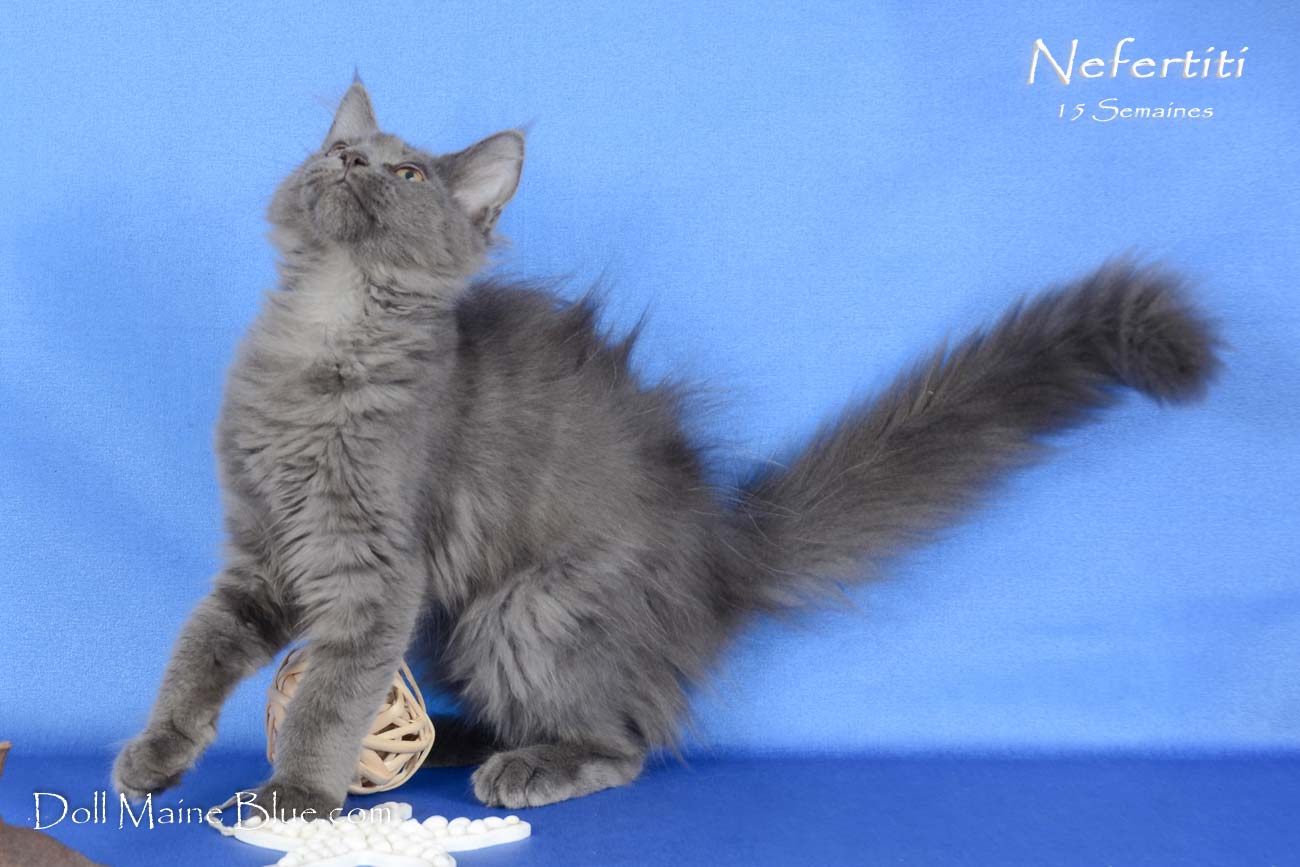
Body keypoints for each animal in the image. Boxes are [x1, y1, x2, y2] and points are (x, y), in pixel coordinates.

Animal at [112, 79, 1220, 815]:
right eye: (339, 154)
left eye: (409, 171)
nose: (348, 162)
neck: (325, 334)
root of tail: (719, 554)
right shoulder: (262, 552)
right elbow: (198, 655)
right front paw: (156, 753)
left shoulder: (370, 573)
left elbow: (332, 695)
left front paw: (298, 793)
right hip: (455, 619)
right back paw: (453, 740)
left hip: (524, 608)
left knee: (623, 740)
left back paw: (527, 765)